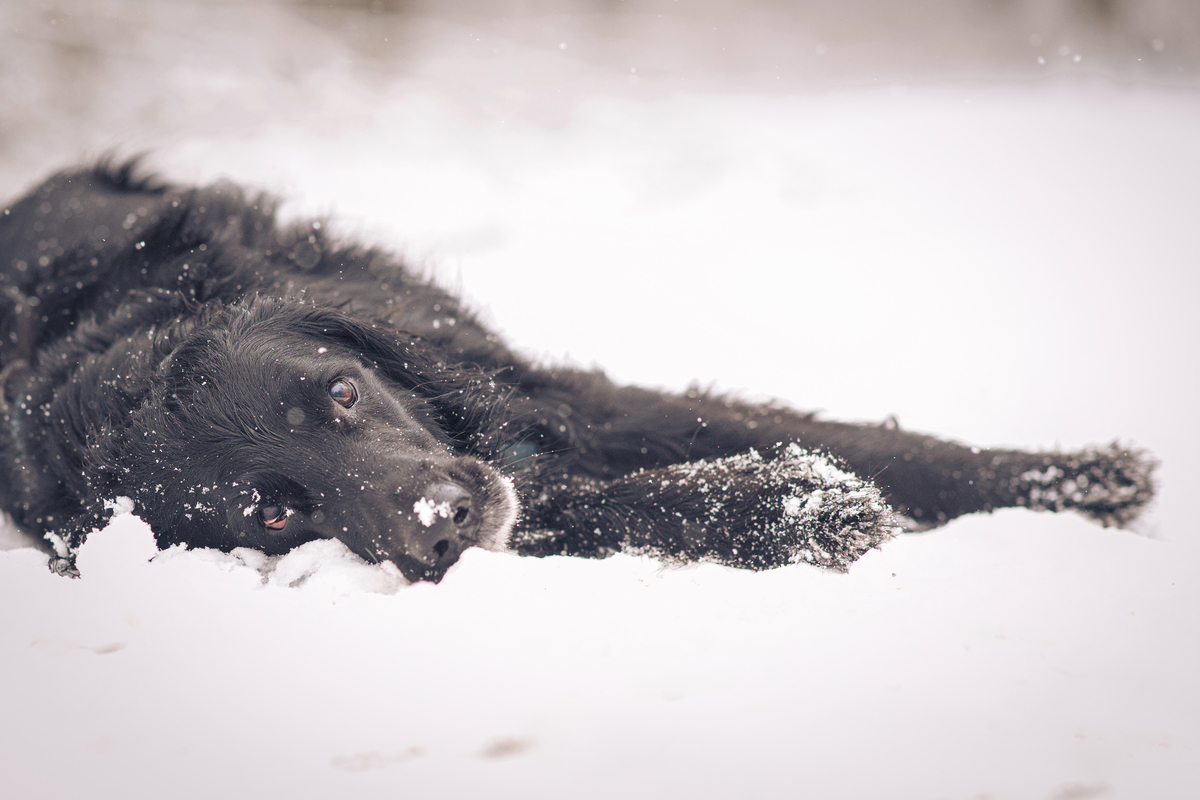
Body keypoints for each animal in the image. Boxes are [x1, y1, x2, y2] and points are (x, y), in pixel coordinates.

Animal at [0, 163, 1156, 582]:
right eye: (274, 515)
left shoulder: (551, 396)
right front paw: (798, 504)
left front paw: (1080, 482)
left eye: (341, 392)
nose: (442, 521)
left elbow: (880, 444)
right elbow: (622, 506)